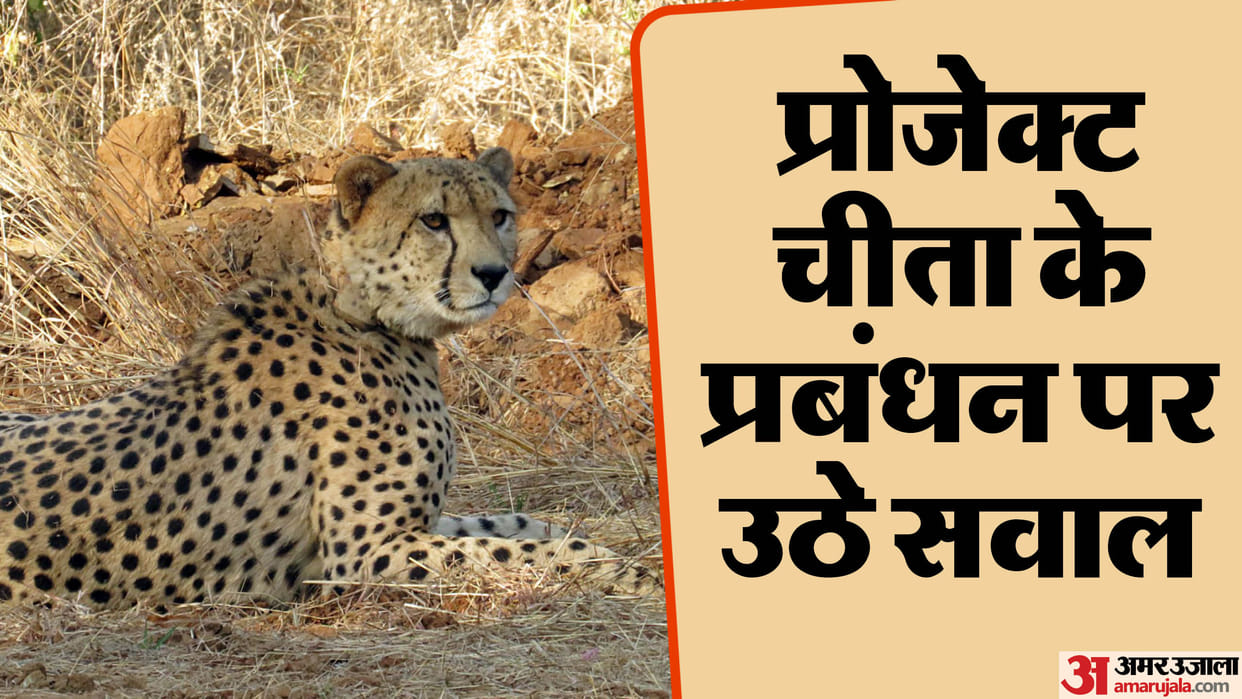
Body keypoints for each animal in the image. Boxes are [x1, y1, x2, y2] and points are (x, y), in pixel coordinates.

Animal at [0, 147, 658, 609]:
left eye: (499, 216)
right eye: (434, 221)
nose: (495, 274)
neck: (367, 316)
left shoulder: (414, 525)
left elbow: (519, 523)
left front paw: (607, 544)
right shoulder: (366, 552)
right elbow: (515, 549)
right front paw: (623, 571)